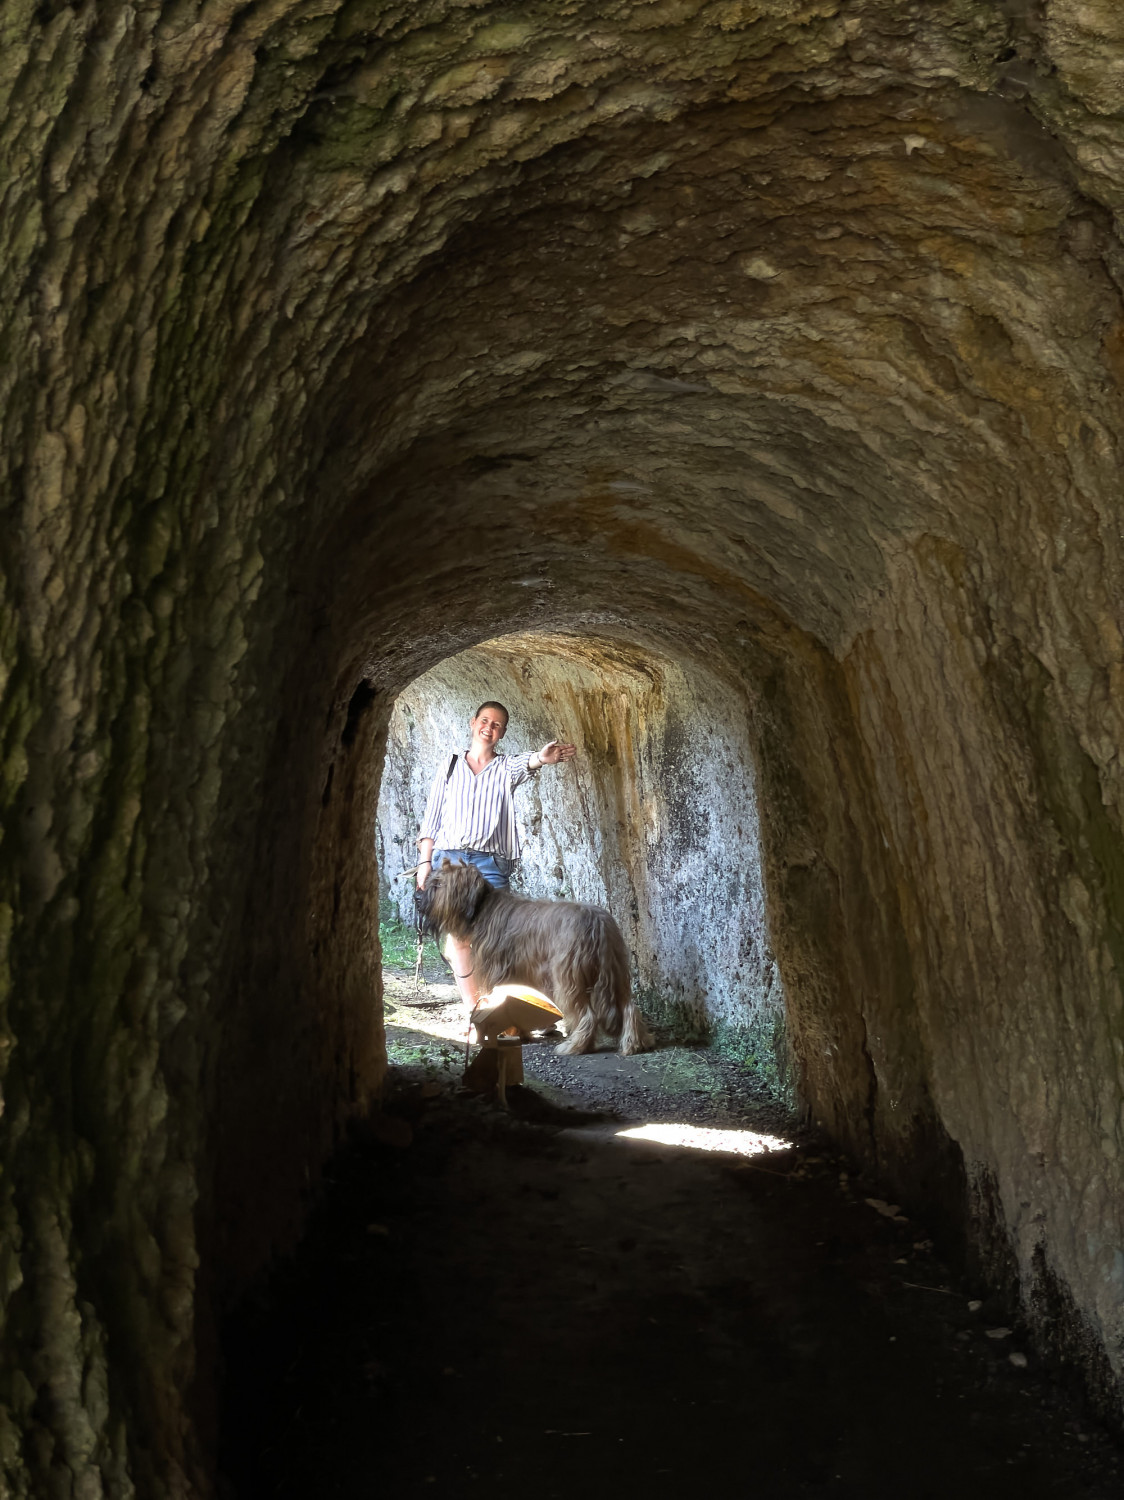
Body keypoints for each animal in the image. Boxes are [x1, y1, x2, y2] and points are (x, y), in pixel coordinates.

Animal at [415, 860, 653, 1056]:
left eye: (438, 884)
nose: (417, 897)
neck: (482, 908)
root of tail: (596, 921)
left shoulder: (496, 973)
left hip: (569, 976)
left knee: (587, 1015)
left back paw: (575, 1046)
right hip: (615, 968)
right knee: (629, 1007)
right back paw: (633, 1044)